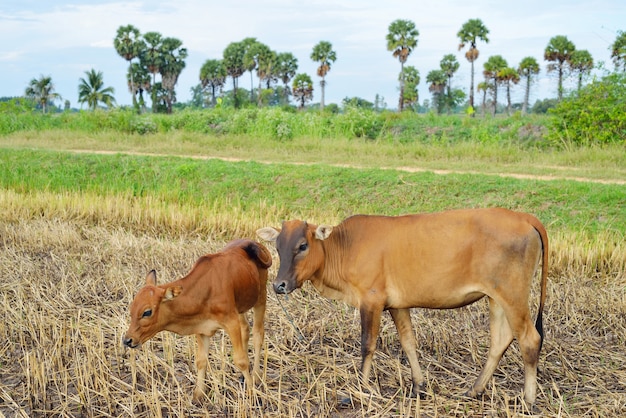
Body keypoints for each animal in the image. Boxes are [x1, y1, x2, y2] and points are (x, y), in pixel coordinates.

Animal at [122, 238, 270, 402]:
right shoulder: (202, 327)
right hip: (241, 306)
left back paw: (256, 375)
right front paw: (198, 394)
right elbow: (201, 361)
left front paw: (251, 393)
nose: (127, 340)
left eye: (147, 312)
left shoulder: (231, 322)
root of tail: (253, 242)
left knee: (258, 334)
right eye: (131, 309)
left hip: (261, 297)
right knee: (245, 329)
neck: (205, 288)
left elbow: (240, 360)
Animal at [258, 207, 544, 406]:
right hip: (496, 298)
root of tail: (524, 217)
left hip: (512, 295)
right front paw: (418, 386)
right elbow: (408, 343)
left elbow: (367, 345)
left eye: (303, 246)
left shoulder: (371, 300)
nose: (279, 285)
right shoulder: (397, 305)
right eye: (278, 246)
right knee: (500, 340)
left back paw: (528, 400)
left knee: (529, 339)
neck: (343, 247)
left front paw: (359, 389)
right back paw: (474, 390)